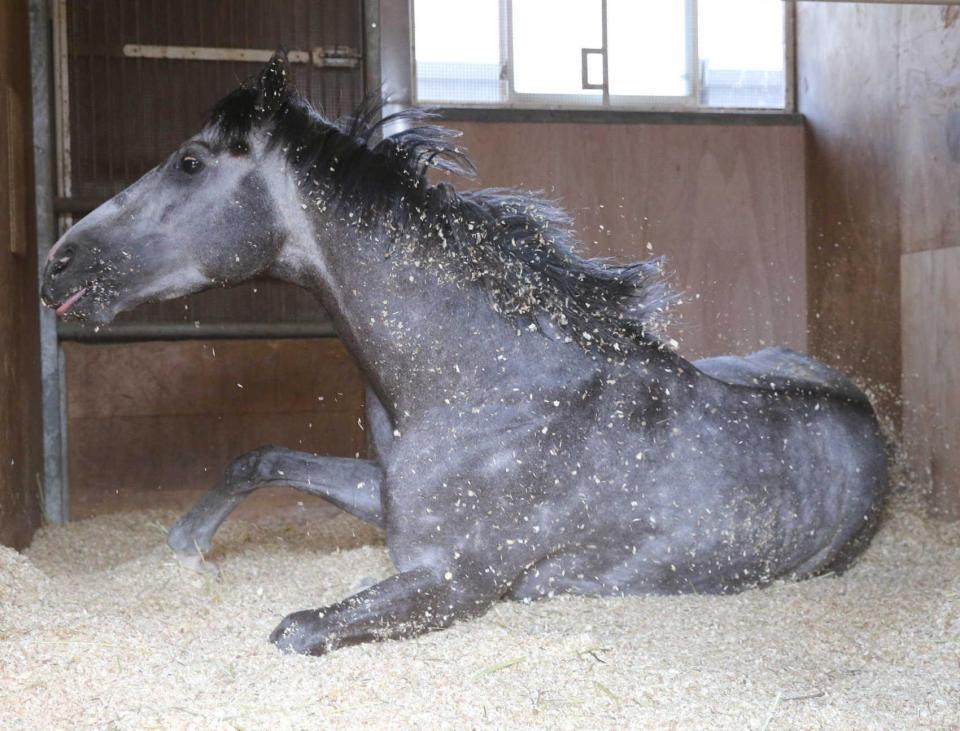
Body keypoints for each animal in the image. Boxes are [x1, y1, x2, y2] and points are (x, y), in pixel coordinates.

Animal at [40, 55, 888, 656]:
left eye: (189, 161)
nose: (56, 266)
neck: (488, 389)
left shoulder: (454, 580)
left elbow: (295, 629)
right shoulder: (387, 501)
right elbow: (263, 457)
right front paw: (185, 545)